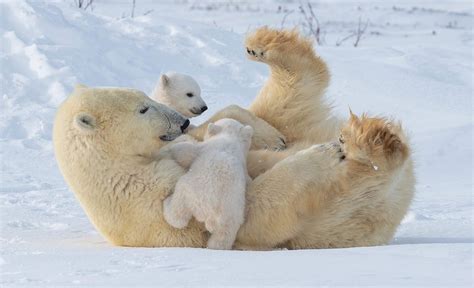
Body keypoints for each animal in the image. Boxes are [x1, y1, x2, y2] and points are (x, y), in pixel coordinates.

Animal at [162, 118, 252, 249]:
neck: (230, 138)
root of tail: (211, 215)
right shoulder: (244, 165)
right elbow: (248, 178)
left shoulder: (205, 147)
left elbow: (186, 152)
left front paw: (174, 147)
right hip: (231, 216)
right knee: (222, 238)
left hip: (190, 192)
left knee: (178, 214)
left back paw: (167, 203)